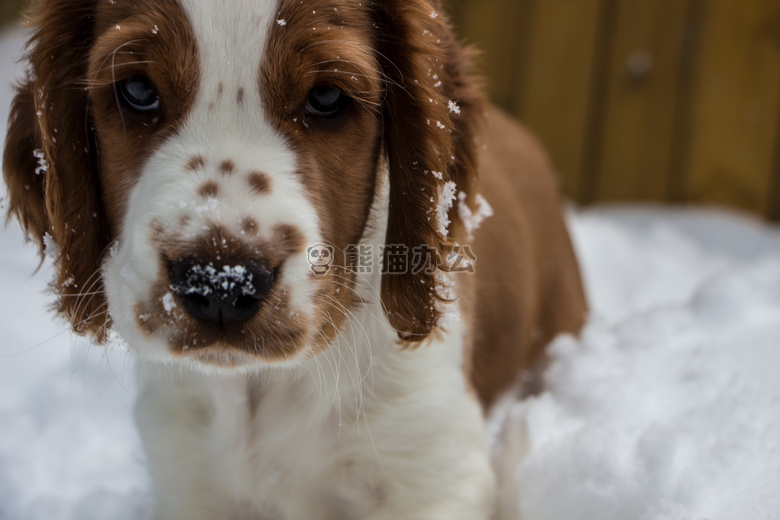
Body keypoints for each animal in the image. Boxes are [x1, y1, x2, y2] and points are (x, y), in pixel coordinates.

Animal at [1, 1, 584, 520]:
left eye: (326, 97)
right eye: (138, 91)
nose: (220, 285)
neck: (264, 383)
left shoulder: (430, 476)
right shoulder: (188, 472)